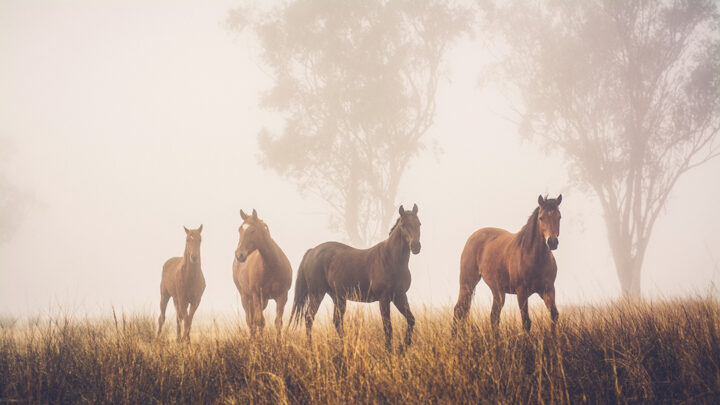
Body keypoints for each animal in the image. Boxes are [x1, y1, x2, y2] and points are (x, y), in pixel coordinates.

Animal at [288, 204, 422, 348]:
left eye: (419, 224)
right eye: (403, 225)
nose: (416, 246)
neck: (390, 259)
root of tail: (312, 251)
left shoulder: (400, 296)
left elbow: (411, 320)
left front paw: (404, 346)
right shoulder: (384, 299)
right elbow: (388, 328)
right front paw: (390, 350)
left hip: (338, 297)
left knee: (337, 321)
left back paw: (345, 347)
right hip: (317, 294)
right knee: (309, 318)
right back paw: (311, 348)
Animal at [450, 194, 564, 332]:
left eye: (559, 216)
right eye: (541, 218)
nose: (552, 242)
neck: (533, 257)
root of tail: (472, 237)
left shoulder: (548, 290)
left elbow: (554, 315)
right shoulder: (521, 292)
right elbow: (526, 322)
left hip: (497, 291)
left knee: (494, 317)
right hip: (467, 283)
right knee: (458, 310)